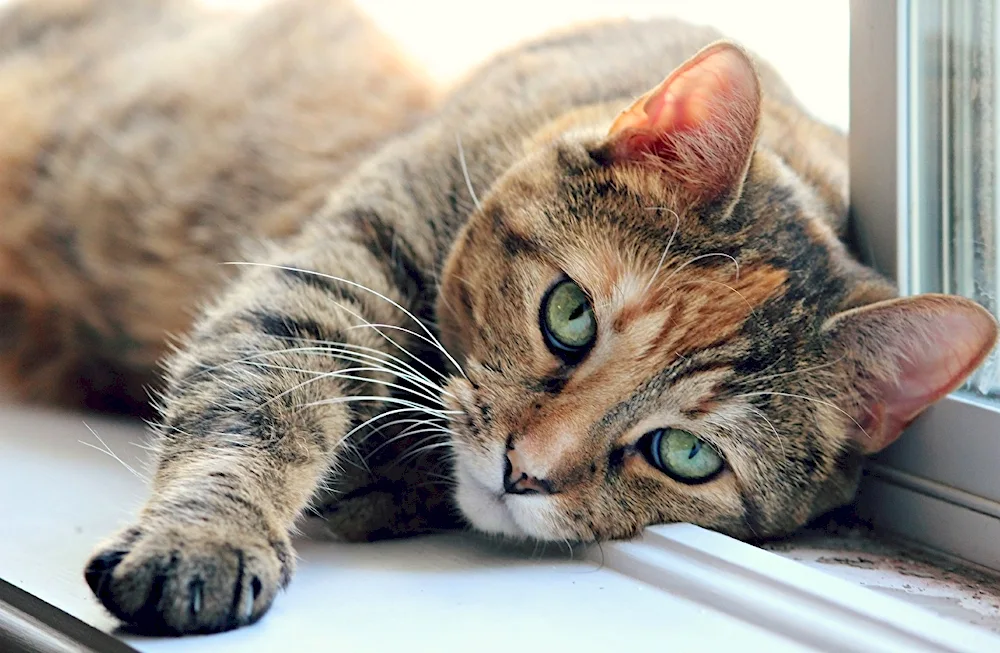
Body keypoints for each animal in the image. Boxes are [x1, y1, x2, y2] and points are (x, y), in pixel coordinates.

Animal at [3, 0, 996, 636]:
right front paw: (203, 538)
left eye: (685, 453)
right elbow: (261, 393)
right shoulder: (333, 270)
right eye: (569, 314)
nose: (526, 471)